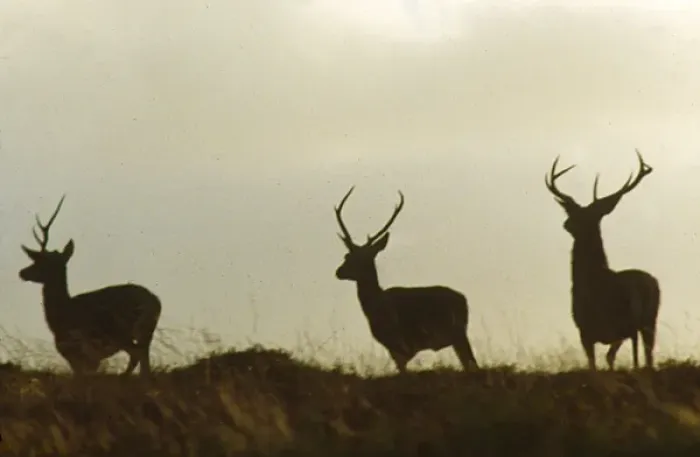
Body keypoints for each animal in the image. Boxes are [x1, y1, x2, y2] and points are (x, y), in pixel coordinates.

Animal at [19, 195, 162, 377]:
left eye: (40, 261)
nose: (22, 272)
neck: (58, 317)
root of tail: (155, 302)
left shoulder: (76, 352)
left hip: (121, 331)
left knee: (138, 354)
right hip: (146, 332)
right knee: (143, 357)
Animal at [333, 186, 478, 373]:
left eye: (363, 258)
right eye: (347, 255)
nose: (339, 271)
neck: (376, 307)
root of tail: (463, 300)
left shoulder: (399, 344)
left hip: (457, 333)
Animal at [544, 149, 660, 371]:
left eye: (589, 215)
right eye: (575, 211)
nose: (567, 223)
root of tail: (650, 282)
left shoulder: (589, 329)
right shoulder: (590, 331)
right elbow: (603, 361)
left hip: (637, 320)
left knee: (641, 355)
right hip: (645, 321)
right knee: (647, 355)